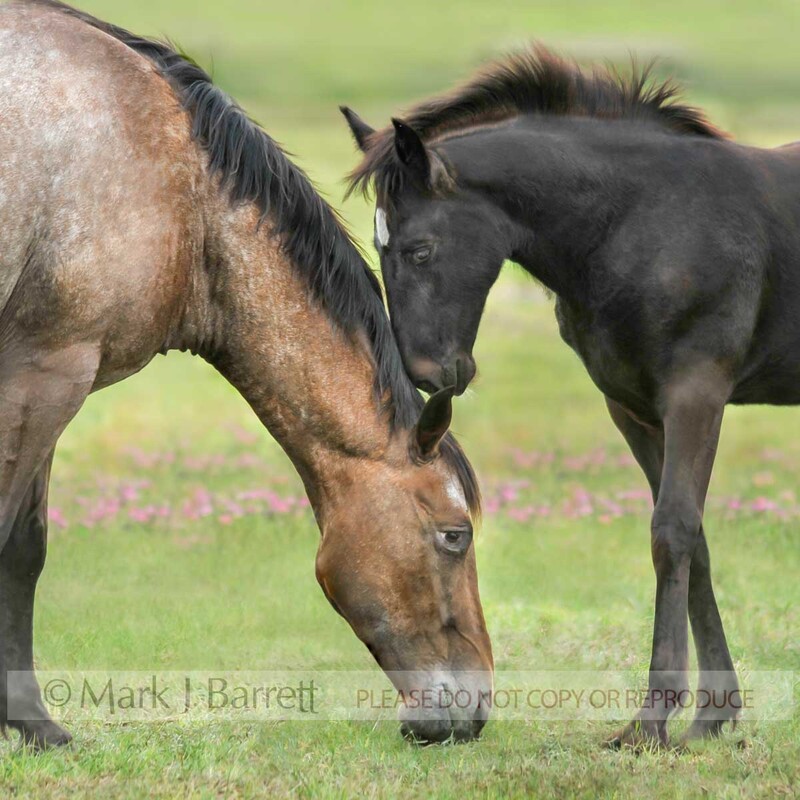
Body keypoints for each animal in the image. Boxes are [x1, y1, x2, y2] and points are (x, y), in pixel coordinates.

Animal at [0, 0, 493, 749]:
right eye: (454, 536)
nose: (475, 712)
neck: (180, 190)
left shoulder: (54, 374)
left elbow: (25, 548)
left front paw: (29, 723)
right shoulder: (45, 370)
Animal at [341, 46, 798, 748]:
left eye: (420, 250)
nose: (427, 374)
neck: (645, 221)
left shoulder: (697, 390)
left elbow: (672, 531)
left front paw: (651, 722)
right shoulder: (633, 407)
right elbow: (694, 541)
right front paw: (713, 714)